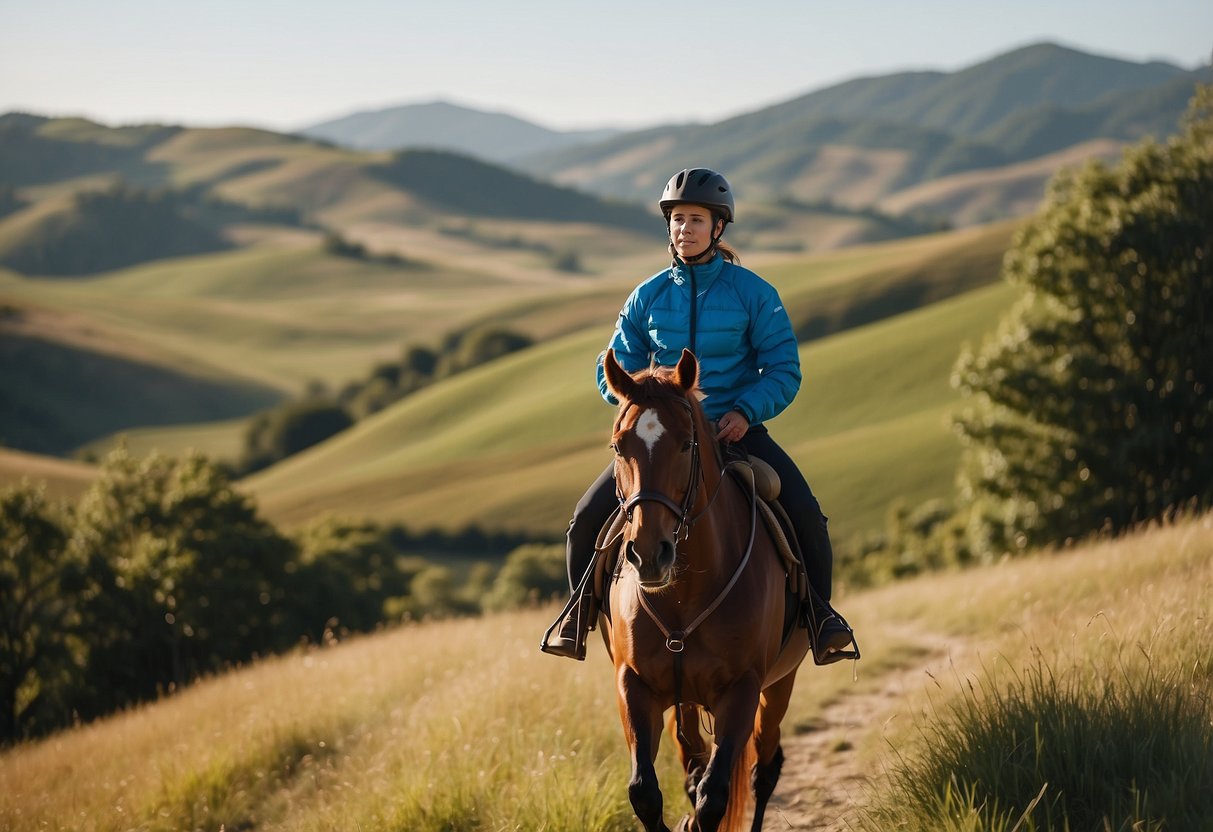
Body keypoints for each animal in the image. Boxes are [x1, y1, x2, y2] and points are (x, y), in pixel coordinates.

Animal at [599, 349, 810, 832]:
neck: (683, 594)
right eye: (619, 446)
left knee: (763, 769)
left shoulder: (742, 690)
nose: (648, 554)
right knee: (693, 763)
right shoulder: (633, 685)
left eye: (684, 444)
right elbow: (645, 792)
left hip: (780, 684)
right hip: (686, 700)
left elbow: (715, 795)